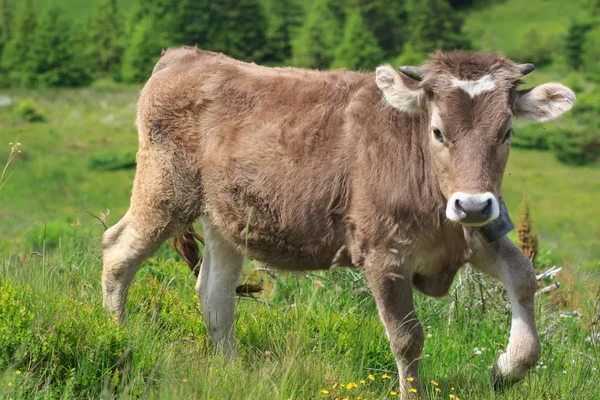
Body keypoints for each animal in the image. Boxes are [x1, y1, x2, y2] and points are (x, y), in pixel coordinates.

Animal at [101, 47, 576, 396]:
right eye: (438, 131)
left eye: (506, 133)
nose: (474, 205)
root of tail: (186, 56)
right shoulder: (384, 254)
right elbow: (407, 338)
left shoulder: (470, 238)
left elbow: (524, 279)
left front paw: (505, 369)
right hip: (165, 190)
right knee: (118, 252)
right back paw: (115, 340)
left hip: (227, 218)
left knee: (215, 292)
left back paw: (231, 372)